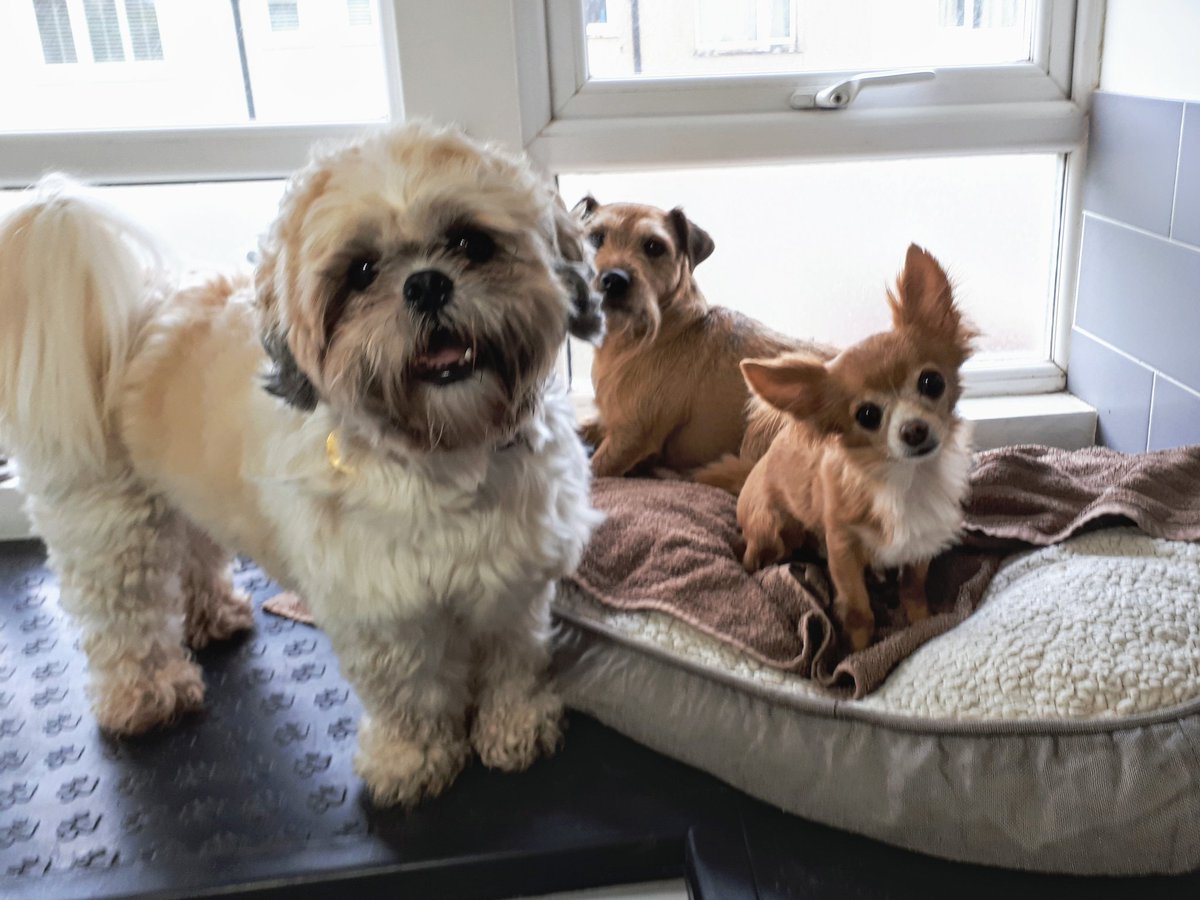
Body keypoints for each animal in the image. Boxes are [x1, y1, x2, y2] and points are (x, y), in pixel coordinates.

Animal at [0, 123, 604, 806]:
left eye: (470, 241)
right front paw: (413, 760)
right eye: (361, 272)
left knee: (195, 553)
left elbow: (513, 662)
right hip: (109, 522)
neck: (446, 449)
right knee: (123, 613)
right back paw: (145, 693)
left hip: (188, 499)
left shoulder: (514, 582)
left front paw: (516, 727)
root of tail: (131, 314)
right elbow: (412, 694)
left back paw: (213, 615)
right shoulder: (382, 612)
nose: (425, 284)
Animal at [576, 196, 830, 480]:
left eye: (654, 246)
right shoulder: (609, 419)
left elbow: (591, 471)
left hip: (765, 416)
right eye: (596, 237)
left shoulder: (629, 437)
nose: (613, 280)